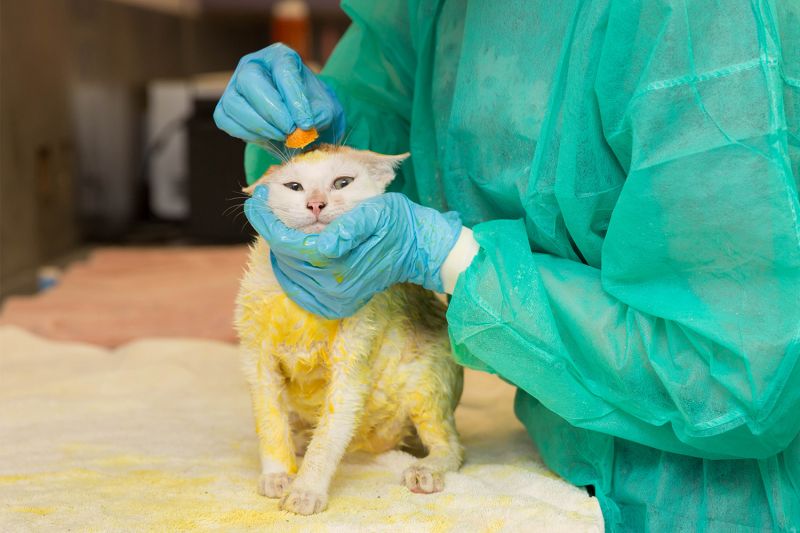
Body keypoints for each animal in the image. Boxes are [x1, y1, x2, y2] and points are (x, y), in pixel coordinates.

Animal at [234, 143, 466, 512]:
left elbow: (329, 435)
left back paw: (425, 470)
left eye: (342, 182)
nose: (316, 203)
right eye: (294, 187)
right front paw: (278, 474)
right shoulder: (257, 356)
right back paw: (298, 440)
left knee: (453, 447)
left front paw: (305, 490)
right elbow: (269, 421)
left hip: (428, 381)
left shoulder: (353, 358)